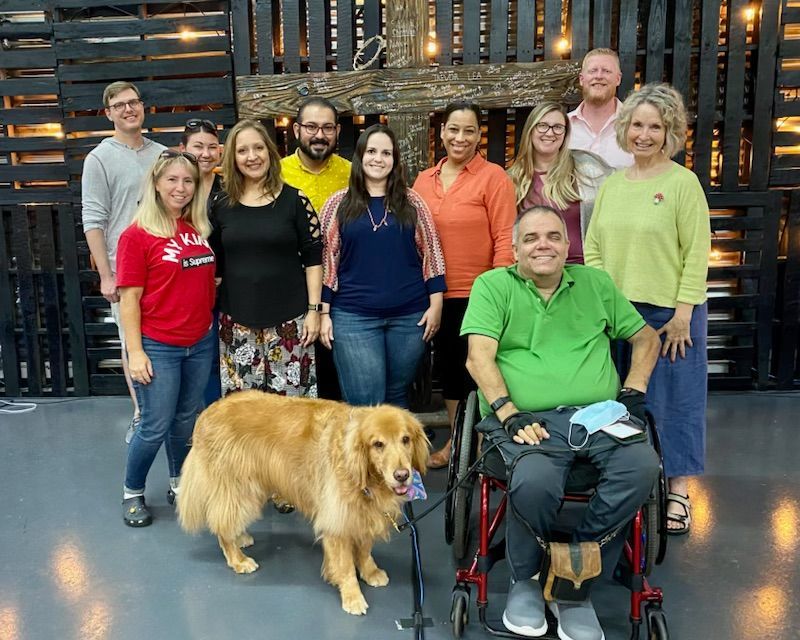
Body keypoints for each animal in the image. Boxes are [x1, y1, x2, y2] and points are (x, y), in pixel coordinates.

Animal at [177, 390, 428, 616]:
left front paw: (370, 572)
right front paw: (352, 596)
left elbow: (365, 549)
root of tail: (206, 413)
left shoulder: (363, 513)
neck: (361, 470)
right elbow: (345, 564)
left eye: (405, 439)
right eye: (378, 444)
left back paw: (240, 537)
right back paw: (238, 559)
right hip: (239, 488)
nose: (402, 475)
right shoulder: (336, 518)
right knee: (222, 524)